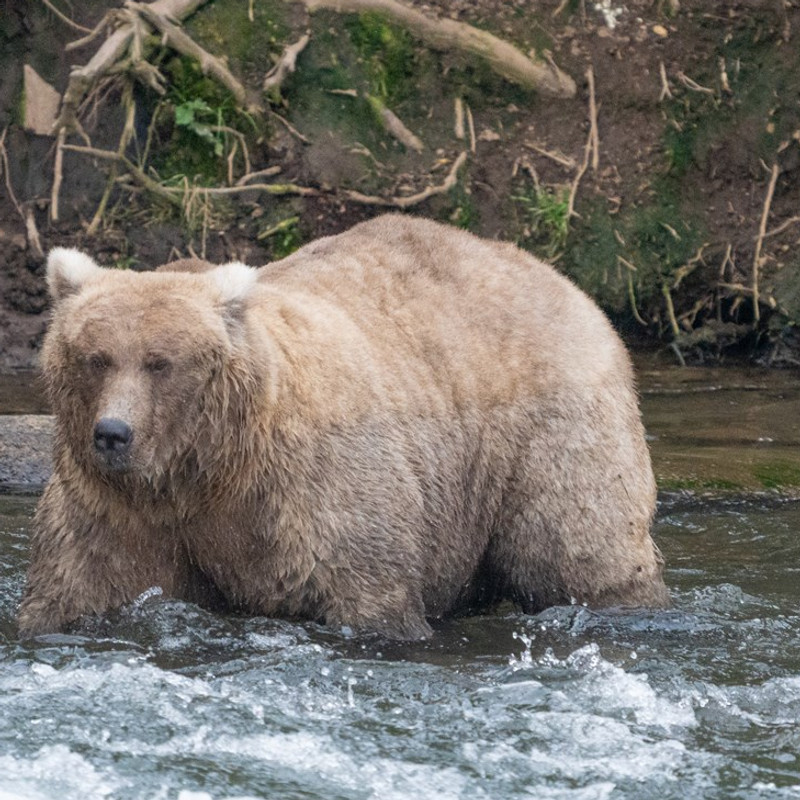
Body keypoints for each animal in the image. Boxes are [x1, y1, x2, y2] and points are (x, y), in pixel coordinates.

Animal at [18, 216, 668, 640]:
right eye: (96, 357)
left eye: (160, 362)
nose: (113, 433)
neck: (206, 468)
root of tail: (562, 281)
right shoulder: (118, 508)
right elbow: (80, 584)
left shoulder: (312, 488)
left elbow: (365, 588)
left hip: (548, 430)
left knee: (579, 548)